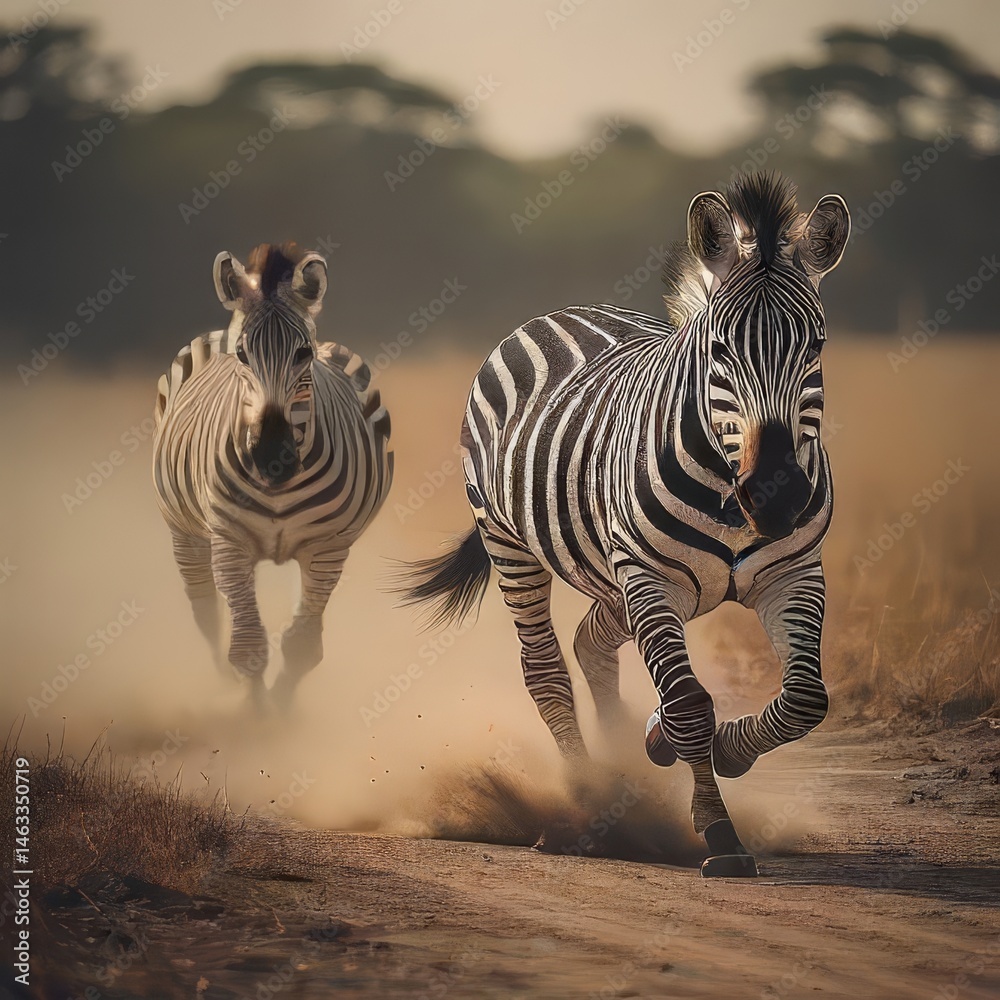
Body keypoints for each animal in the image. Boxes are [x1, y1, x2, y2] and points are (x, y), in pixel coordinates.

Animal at [153, 243, 392, 706]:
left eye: (303, 354)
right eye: (243, 355)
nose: (272, 458)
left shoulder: (327, 546)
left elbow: (302, 645)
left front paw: (281, 712)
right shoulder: (228, 541)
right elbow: (246, 647)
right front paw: (255, 714)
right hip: (185, 531)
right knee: (205, 610)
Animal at [399, 173, 849, 876]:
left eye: (817, 346)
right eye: (718, 348)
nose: (777, 498)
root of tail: (556, 313)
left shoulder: (793, 573)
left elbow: (806, 696)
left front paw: (720, 750)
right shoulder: (651, 577)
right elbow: (689, 701)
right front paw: (720, 833)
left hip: (620, 573)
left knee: (590, 640)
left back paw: (626, 773)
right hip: (519, 545)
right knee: (547, 669)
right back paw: (593, 800)